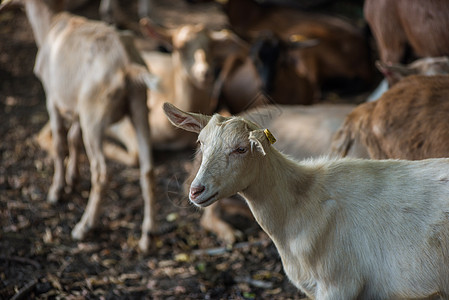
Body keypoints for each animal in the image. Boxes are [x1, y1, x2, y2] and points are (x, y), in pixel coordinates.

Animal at [0, 0, 158, 252]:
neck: (52, 24)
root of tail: (127, 65)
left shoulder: (52, 98)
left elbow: (60, 144)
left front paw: (56, 191)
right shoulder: (73, 107)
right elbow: (74, 139)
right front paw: (73, 180)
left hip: (94, 115)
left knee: (102, 172)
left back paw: (84, 226)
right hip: (139, 107)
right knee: (148, 169)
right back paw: (147, 236)